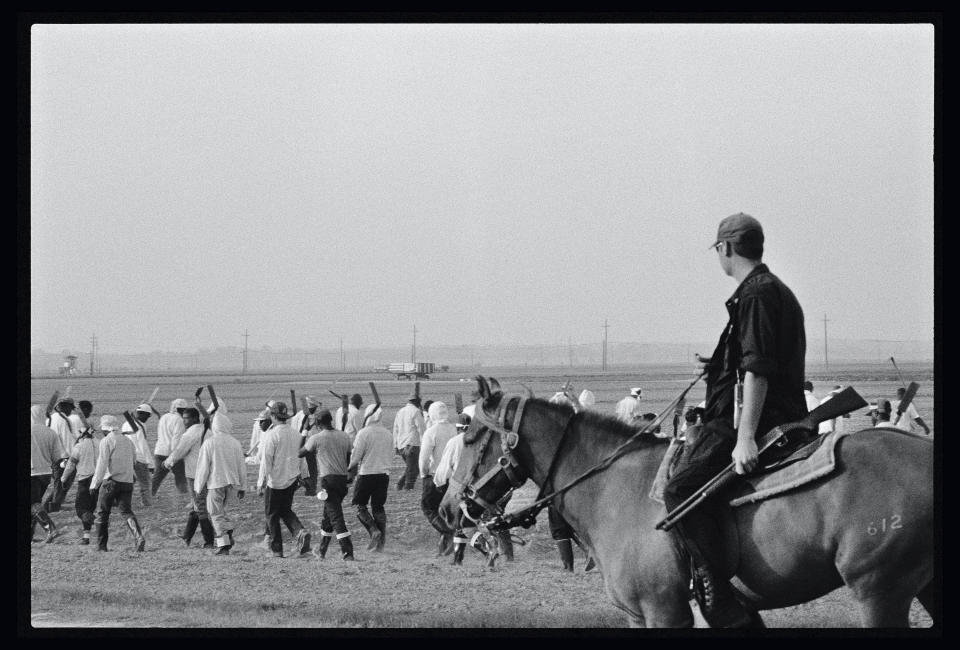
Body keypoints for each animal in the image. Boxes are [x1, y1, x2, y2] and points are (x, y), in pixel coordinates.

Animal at [442, 378, 936, 624]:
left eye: (469, 435)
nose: (449, 507)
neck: (611, 488)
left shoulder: (665, 613)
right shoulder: (640, 618)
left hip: (880, 593)